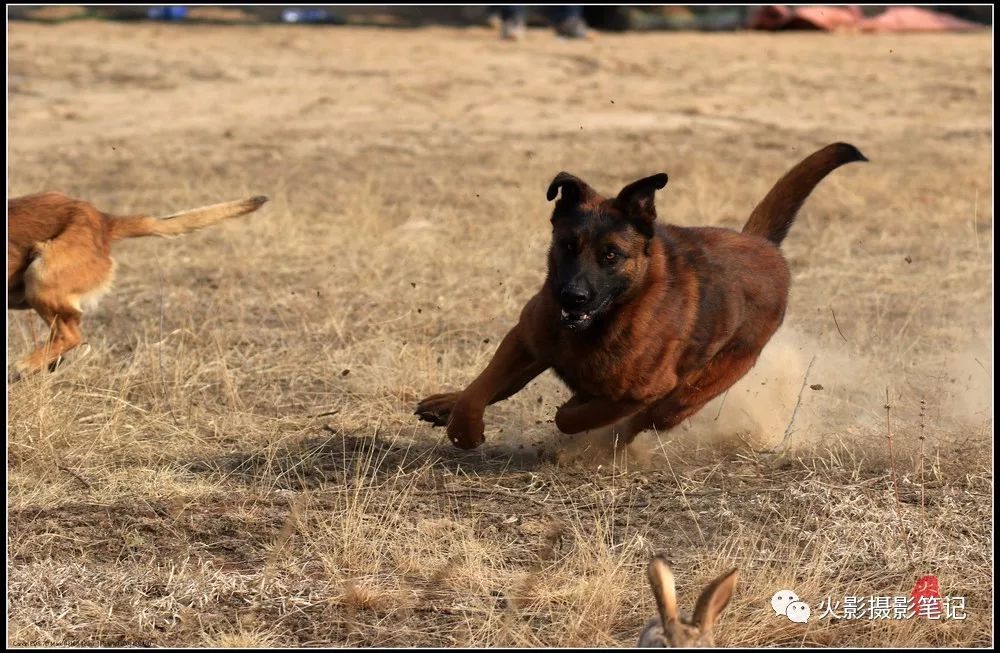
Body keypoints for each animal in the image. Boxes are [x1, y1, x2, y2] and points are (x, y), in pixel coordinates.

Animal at [416, 143, 868, 448]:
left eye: (610, 255)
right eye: (567, 246)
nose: (573, 297)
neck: (606, 318)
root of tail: (763, 246)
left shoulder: (643, 390)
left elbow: (574, 416)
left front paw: (574, 416)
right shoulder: (525, 340)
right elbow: (482, 387)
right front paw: (463, 427)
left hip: (689, 394)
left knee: (643, 422)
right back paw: (443, 404)